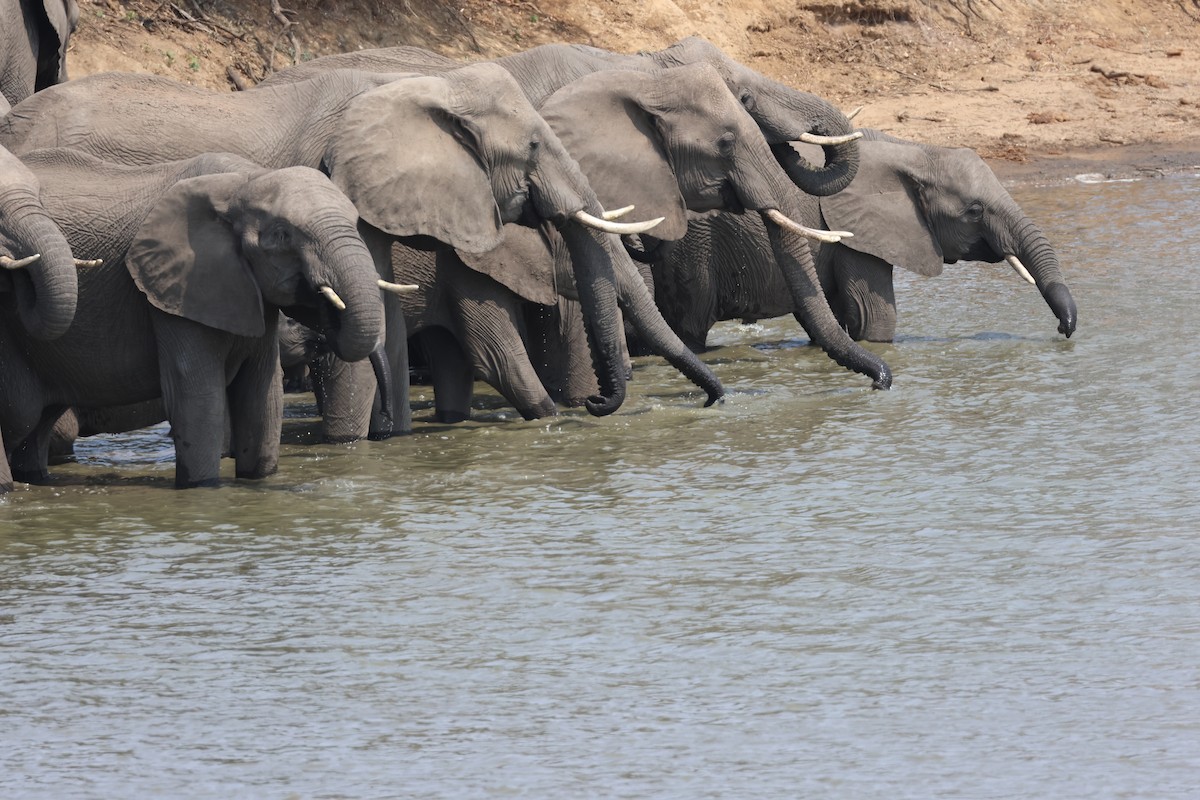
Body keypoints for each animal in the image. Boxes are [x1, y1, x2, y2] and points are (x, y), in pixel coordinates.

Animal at [0, 149, 387, 488]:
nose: (324, 300)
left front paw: (257, 482)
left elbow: (262, 399)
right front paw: (203, 488)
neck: (244, 182)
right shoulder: (175, 291)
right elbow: (198, 400)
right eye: (282, 235)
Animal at [642, 130, 1078, 350]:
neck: (912, 152)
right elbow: (873, 316)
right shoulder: (855, 236)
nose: (1064, 329)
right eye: (974, 211)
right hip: (693, 249)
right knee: (688, 327)